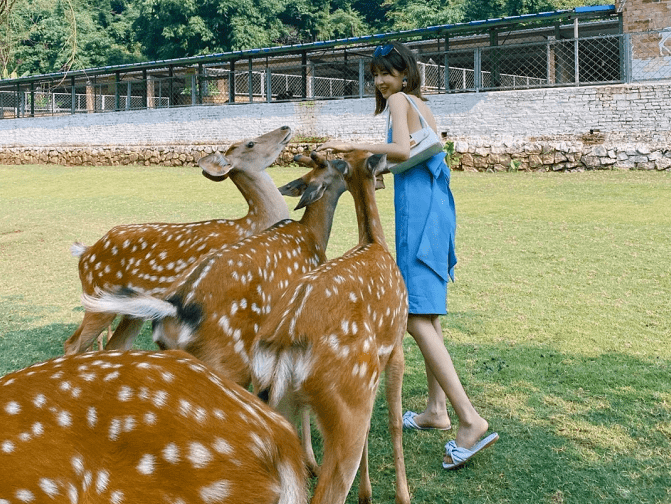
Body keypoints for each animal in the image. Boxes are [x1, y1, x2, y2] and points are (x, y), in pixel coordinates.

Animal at [64, 125, 292, 354]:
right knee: (73, 343)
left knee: (117, 344)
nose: (285, 127)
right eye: (250, 143)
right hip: (97, 294)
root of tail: (85, 253)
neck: (252, 224)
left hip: (129, 309)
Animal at [251, 150, 412, 504]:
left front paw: (367, 495)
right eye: (374, 159)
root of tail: (285, 340)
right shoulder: (395, 345)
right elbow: (394, 422)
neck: (374, 241)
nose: (388, 164)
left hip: (274, 398)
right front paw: (402, 496)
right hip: (347, 396)